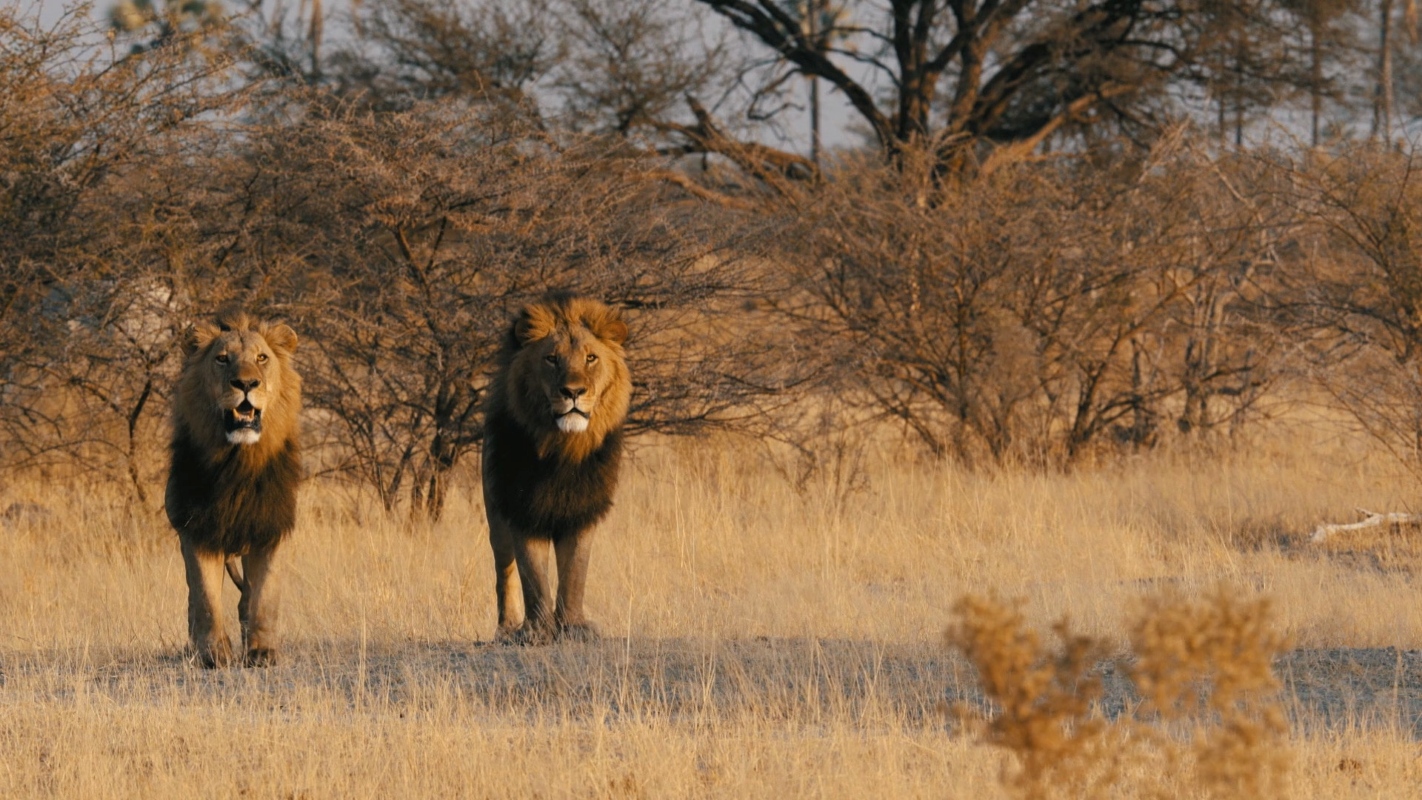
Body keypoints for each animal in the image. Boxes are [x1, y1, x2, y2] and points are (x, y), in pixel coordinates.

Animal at [165, 309, 302, 668]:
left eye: (262, 358)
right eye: (222, 359)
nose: (246, 384)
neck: (237, 462)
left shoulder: (271, 529)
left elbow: (264, 598)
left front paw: (262, 651)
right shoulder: (196, 530)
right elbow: (205, 599)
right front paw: (214, 655)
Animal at [481, 294, 631, 644]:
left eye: (591, 358)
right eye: (551, 359)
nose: (573, 392)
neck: (562, 448)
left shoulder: (582, 510)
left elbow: (575, 572)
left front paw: (573, 626)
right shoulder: (522, 508)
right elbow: (532, 576)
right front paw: (537, 630)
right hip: (495, 515)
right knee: (503, 572)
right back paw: (507, 628)